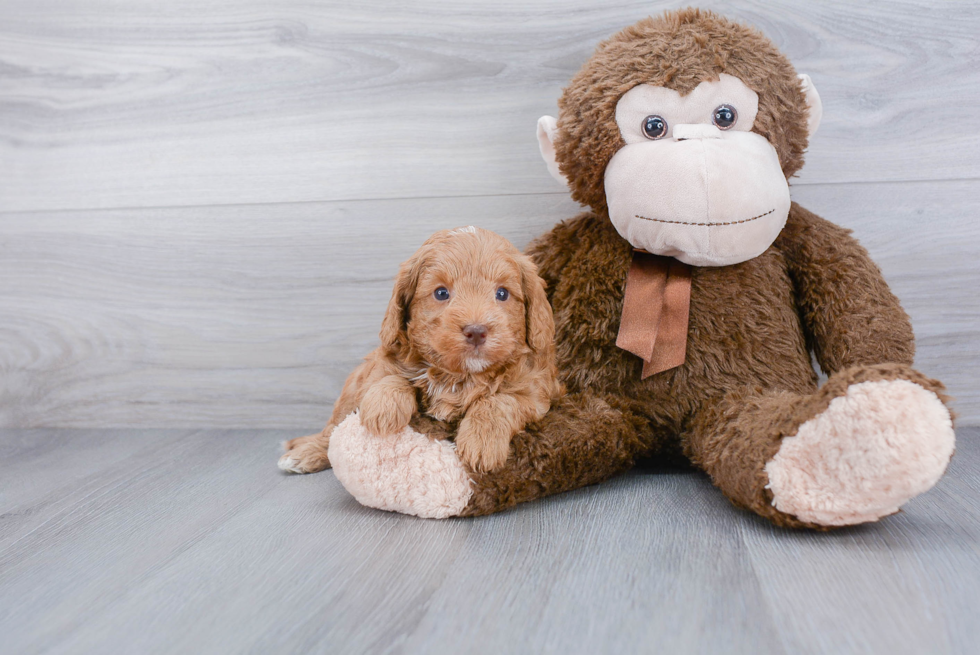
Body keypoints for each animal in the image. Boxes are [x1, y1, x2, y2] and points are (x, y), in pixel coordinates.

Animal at [280, 228, 564, 474]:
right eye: (441, 293)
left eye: (502, 293)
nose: (476, 331)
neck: (459, 376)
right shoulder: (380, 365)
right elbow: (391, 377)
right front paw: (384, 408)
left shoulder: (536, 392)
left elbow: (500, 400)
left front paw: (482, 441)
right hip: (350, 389)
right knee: (332, 429)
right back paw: (305, 453)